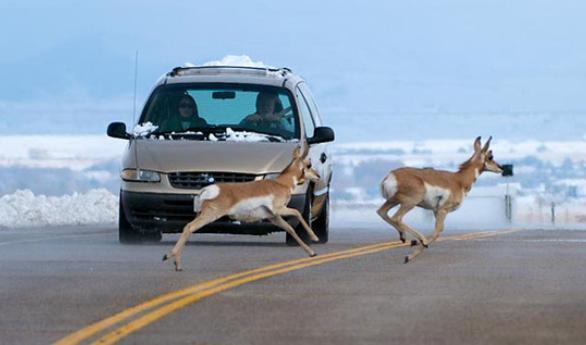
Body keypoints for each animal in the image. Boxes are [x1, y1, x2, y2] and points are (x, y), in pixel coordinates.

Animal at [162, 144, 320, 270]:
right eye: (309, 165)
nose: (318, 176)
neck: (281, 183)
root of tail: (207, 190)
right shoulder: (279, 210)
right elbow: (297, 213)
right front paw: (315, 237)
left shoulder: (273, 217)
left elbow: (290, 228)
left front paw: (312, 253)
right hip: (210, 215)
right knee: (189, 227)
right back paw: (172, 258)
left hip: (202, 214)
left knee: (187, 227)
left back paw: (175, 262)